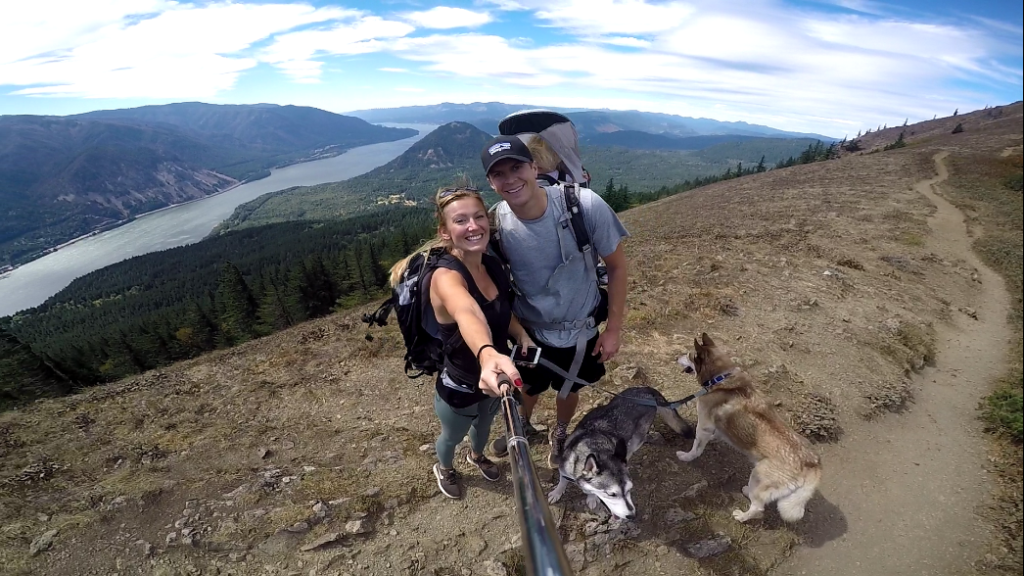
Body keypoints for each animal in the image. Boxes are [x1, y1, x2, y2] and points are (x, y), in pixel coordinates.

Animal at [675, 330, 819, 522]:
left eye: (689, 355)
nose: (676, 357)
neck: (720, 379)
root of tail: (812, 464)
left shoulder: (703, 425)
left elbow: (696, 448)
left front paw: (687, 456)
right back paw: (746, 492)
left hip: (758, 477)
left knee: (758, 508)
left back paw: (741, 516)